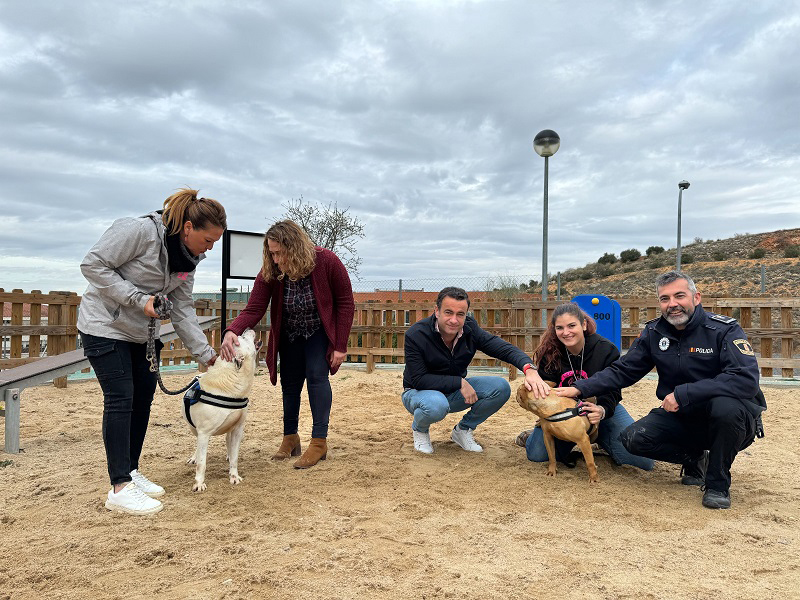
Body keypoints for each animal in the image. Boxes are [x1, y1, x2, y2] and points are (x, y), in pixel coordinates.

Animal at [183, 328, 260, 492]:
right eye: (243, 337)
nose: (248, 329)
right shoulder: (204, 433)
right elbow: (202, 462)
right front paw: (199, 483)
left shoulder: (237, 429)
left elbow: (235, 457)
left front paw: (234, 476)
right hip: (194, 428)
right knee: (197, 446)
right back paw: (194, 457)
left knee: (228, 443)